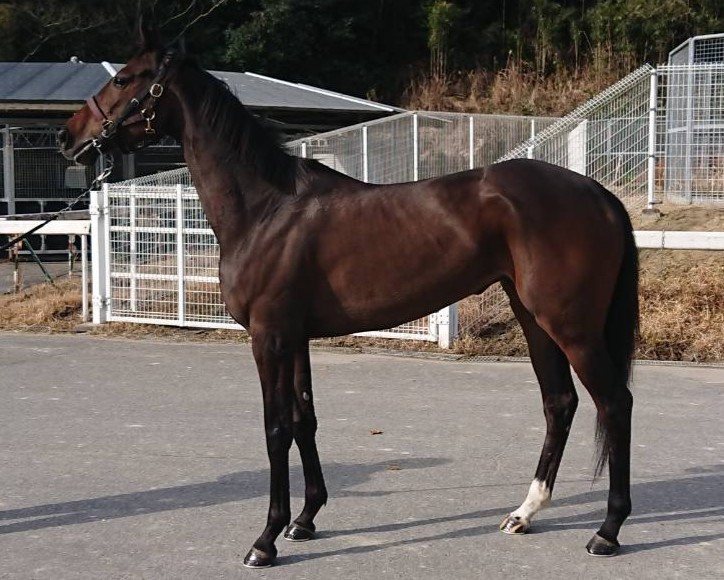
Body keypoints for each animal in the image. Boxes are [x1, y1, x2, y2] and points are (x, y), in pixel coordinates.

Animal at [59, 24, 638, 568]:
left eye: (123, 79)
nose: (69, 136)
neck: (266, 210)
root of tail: (598, 193)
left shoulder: (268, 339)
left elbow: (275, 429)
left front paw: (266, 539)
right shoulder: (295, 338)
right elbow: (304, 419)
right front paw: (306, 519)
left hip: (570, 326)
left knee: (614, 403)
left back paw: (607, 531)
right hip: (533, 317)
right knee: (559, 404)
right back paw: (525, 512)